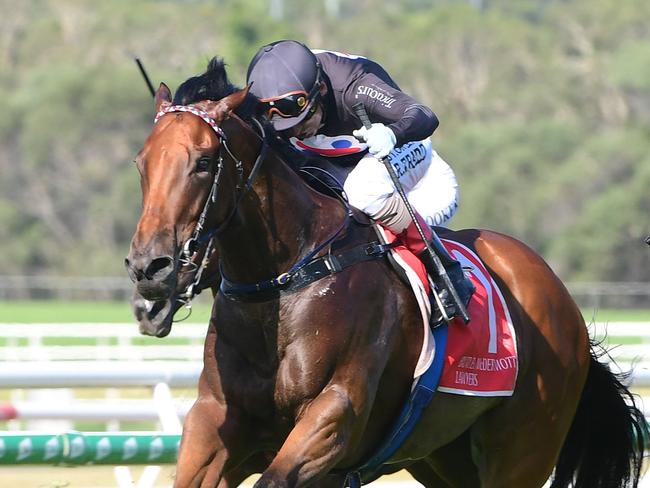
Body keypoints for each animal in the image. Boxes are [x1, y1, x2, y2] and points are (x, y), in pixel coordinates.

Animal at [125, 61, 644, 488]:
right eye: (141, 164)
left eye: (203, 162)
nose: (148, 270)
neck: (287, 281)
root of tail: (561, 298)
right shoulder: (216, 422)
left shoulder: (333, 419)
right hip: (443, 456)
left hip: (523, 451)